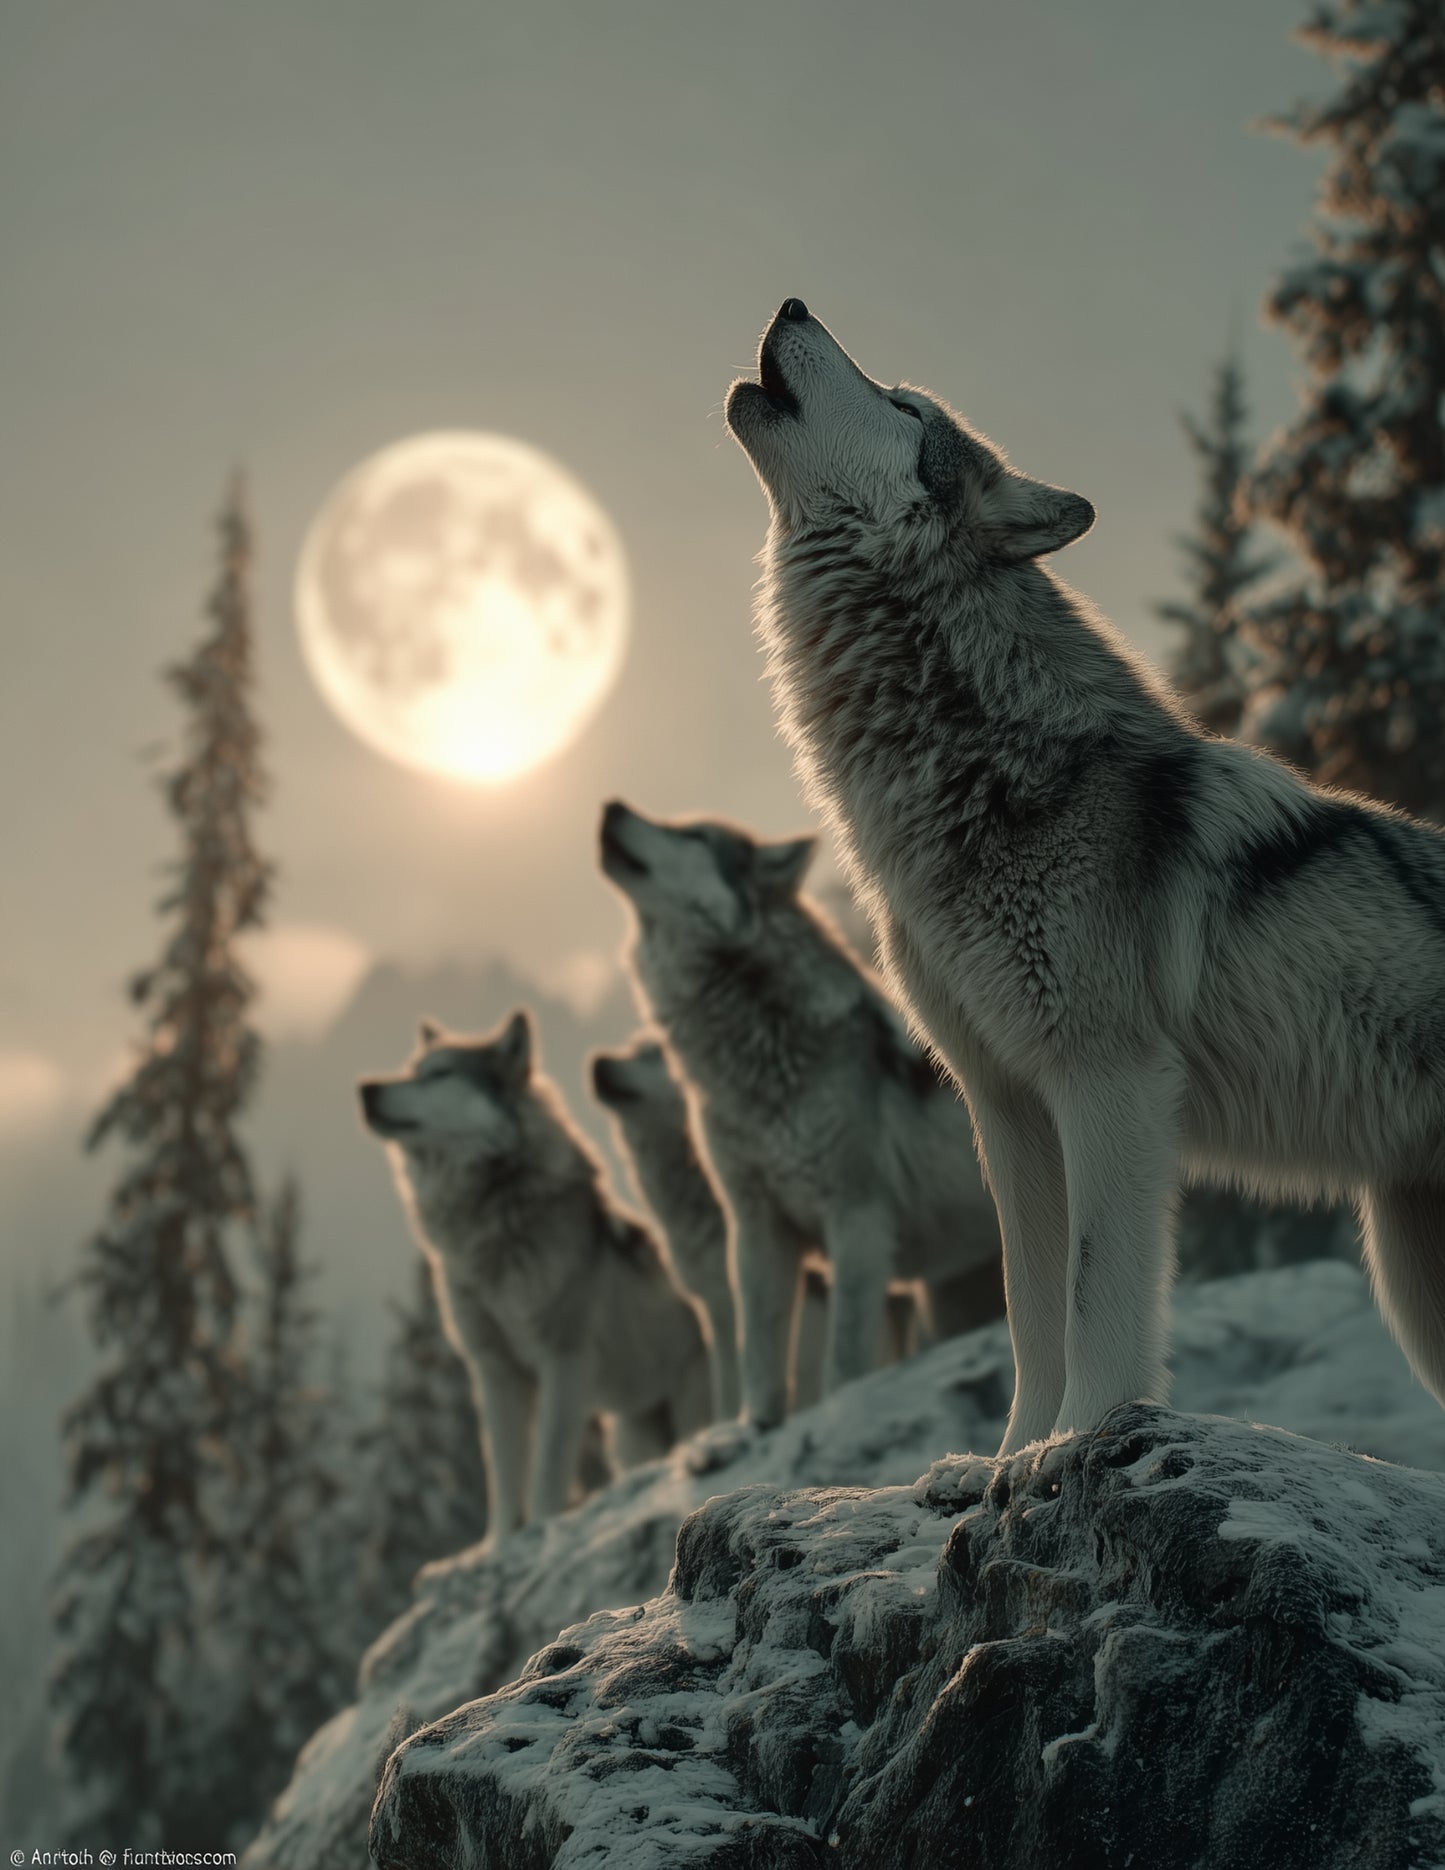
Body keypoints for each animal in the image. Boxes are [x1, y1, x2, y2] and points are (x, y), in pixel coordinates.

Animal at [359, 1010, 711, 1539]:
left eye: (438, 1074)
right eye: (411, 1070)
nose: (366, 1088)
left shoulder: (564, 1362)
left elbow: (546, 1473)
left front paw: (542, 1527)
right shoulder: (495, 1369)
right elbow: (504, 1478)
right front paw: (501, 1543)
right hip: (634, 1434)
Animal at [599, 802, 1006, 1429]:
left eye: (692, 835)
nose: (612, 805)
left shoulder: (857, 1222)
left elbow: (842, 1366)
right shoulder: (757, 1229)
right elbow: (759, 1363)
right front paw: (752, 1431)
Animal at [725, 296, 1445, 1455]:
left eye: (903, 406)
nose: (792, 303)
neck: (979, 771)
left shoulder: (1108, 1082)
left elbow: (1094, 1289)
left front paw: (1072, 1446)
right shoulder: (1009, 1107)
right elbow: (1028, 1307)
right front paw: (1000, 1461)